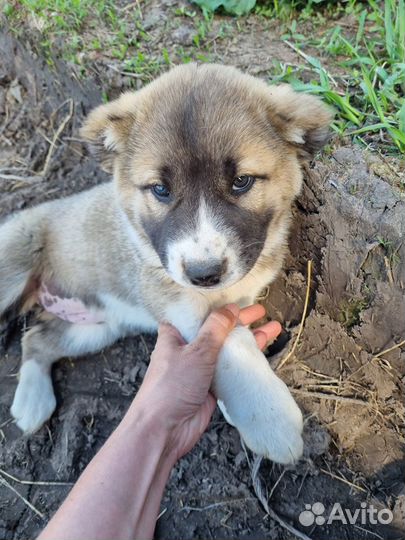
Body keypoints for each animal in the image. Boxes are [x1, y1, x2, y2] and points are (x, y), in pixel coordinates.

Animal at [0, 64, 332, 464]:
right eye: (160, 189)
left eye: (241, 182)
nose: (204, 274)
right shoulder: (178, 299)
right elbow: (232, 343)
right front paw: (271, 418)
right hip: (14, 264)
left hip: (94, 329)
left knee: (36, 340)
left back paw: (32, 402)